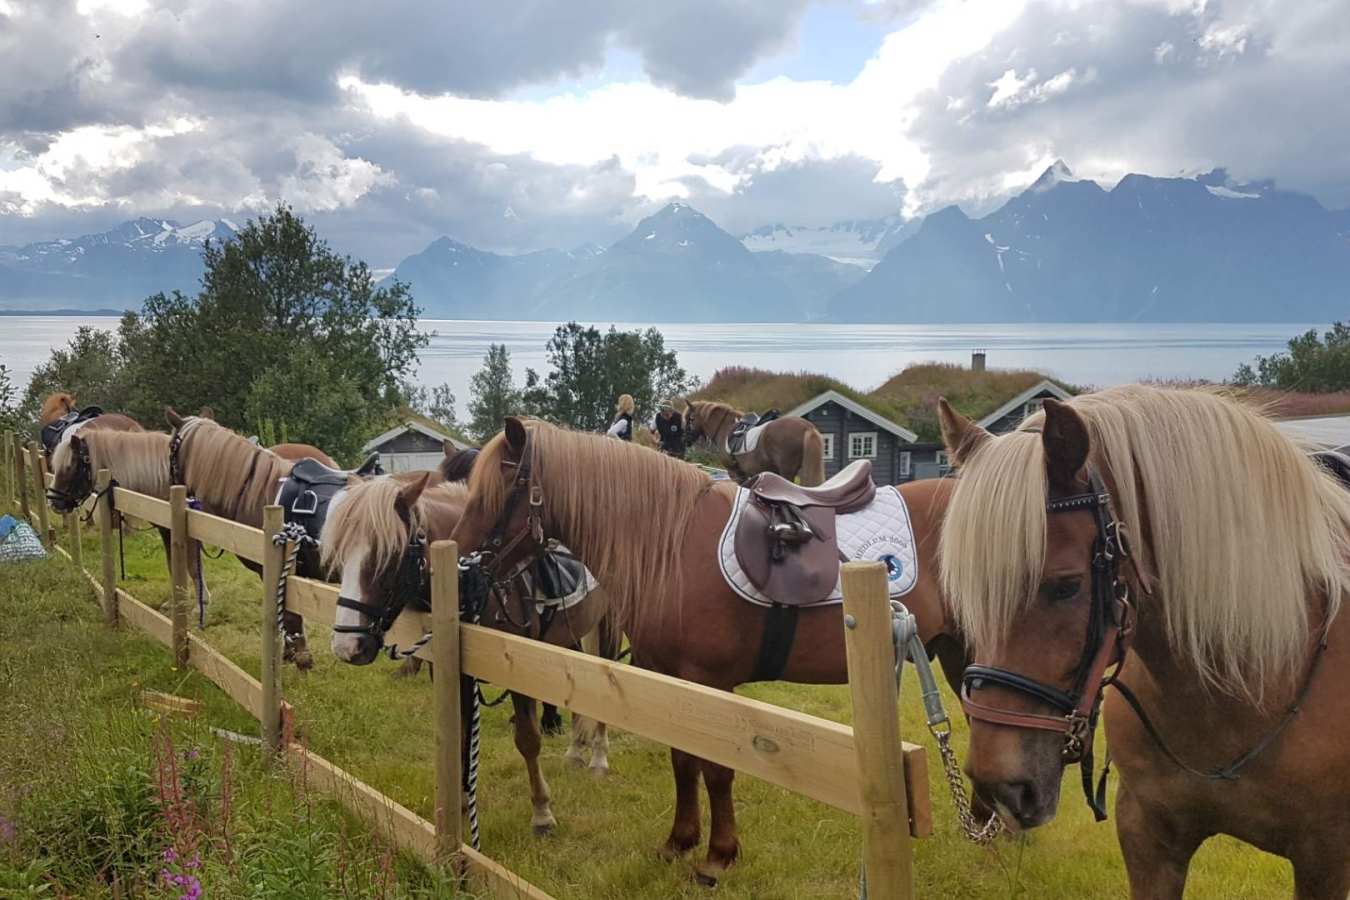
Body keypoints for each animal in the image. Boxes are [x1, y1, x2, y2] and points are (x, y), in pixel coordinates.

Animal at [164, 409, 342, 669]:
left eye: (170, 448)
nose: (169, 486)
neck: (256, 492)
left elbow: (291, 617)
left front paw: (301, 658)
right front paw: (290, 655)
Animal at [320, 474, 614, 835]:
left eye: (388, 556)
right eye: (341, 554)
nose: (347, 647)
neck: (474, 580)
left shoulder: (517, 671)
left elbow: (528, 740)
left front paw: (542, 812)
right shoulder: (454, 672)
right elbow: (459, 735)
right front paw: (461, 801)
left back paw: (598, 758)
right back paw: (574, 752)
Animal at [447, 417, 970, 886]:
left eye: (496, 491)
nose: (460, 570)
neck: (671, 544)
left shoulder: (711, 683)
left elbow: (716, 771)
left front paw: (718, 856)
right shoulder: (674, 680)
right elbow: (684, 762)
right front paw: (679, 841)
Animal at [681, 399, 825, 486]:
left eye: (690, 419)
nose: (685, 440)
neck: (725, 428)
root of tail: (807, 427)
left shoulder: (736, 474)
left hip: (788, 473)